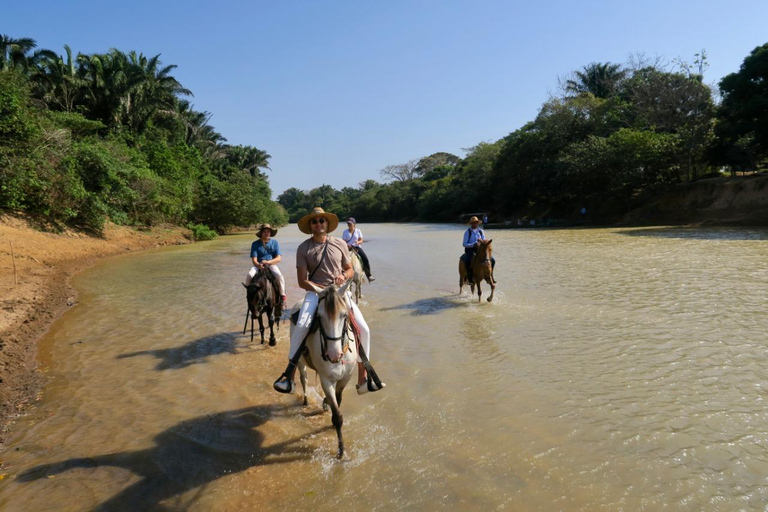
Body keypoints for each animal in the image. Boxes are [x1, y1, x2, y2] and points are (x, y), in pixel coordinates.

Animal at [296, 282, 358, 458]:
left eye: (344, 315)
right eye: (319, 317)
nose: (333, 354)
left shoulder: (345, 378)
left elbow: (338, 400)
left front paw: (326, 403)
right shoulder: (326, 380)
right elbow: (337, 416)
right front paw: (341, 452)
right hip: (301, 362)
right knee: (303, 379)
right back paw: (305, 400)